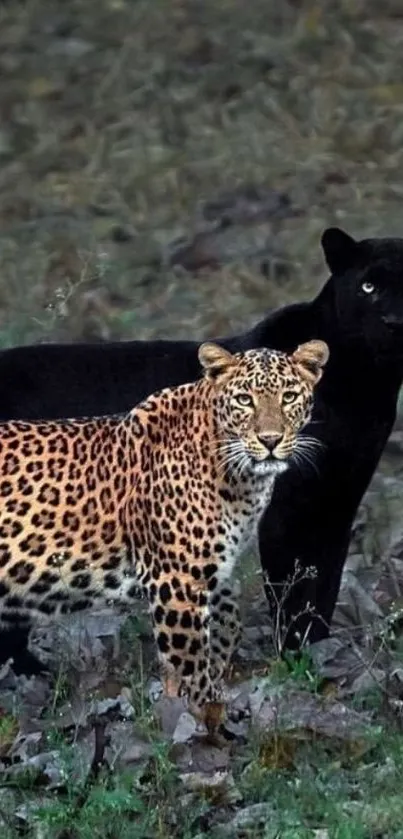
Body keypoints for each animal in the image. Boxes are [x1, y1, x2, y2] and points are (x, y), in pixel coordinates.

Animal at [0, 338, 328, 720]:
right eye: (245, 400)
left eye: (288, 396)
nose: (271, 440)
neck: (240, 478)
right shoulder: (177, 579)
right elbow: (192, 662)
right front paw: (206, 714)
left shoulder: (211, 568)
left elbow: (229, 624)